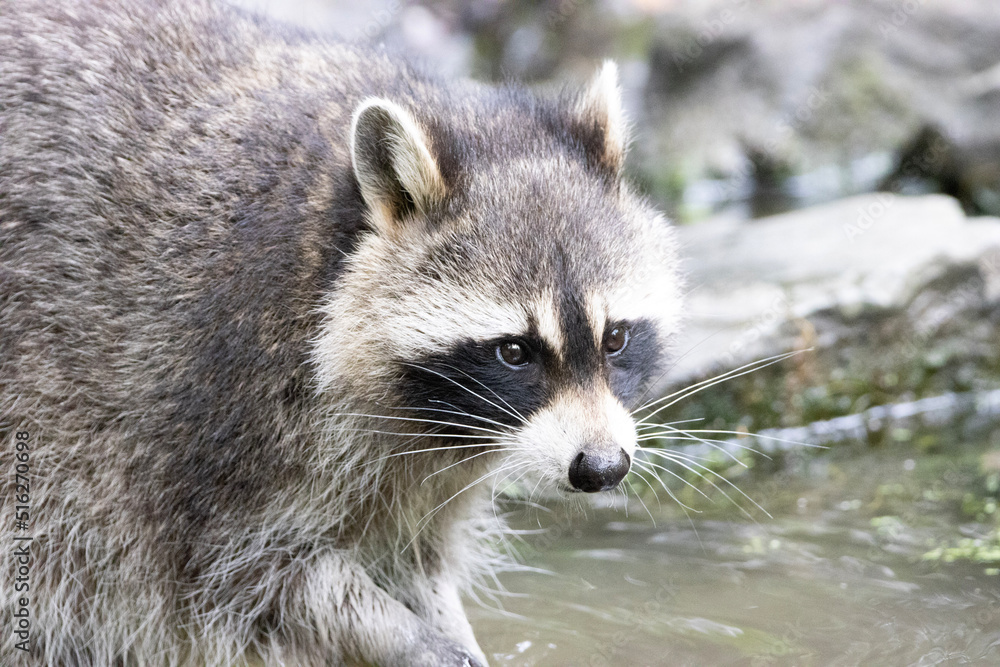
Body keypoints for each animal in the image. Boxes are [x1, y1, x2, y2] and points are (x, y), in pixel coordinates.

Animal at [0, 1, 680, 667]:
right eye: (514, 351)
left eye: (615, 338)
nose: (602, 468)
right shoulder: (210, 417)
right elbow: (252, 578)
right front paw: (415, 641)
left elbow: (412, 560)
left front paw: (445, 626)